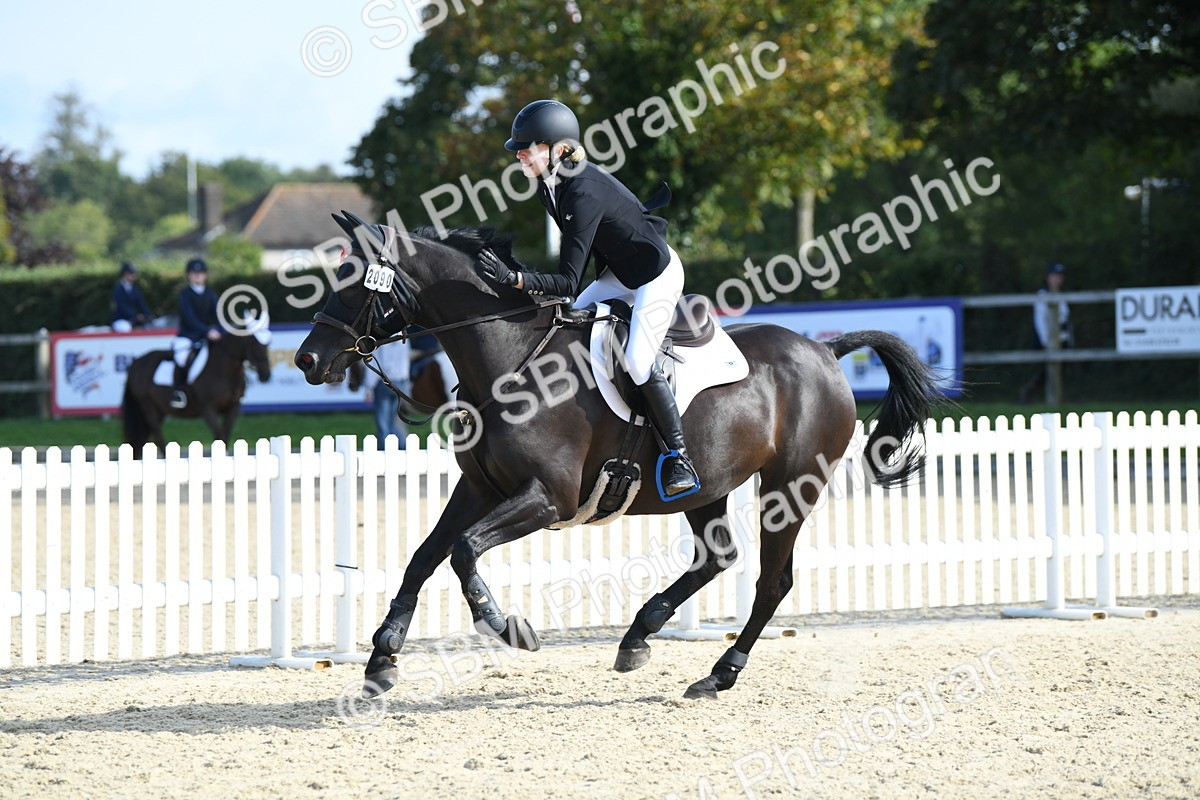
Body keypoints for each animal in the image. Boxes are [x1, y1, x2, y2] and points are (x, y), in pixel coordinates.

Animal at [122, 326, 273, 454]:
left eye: (267, 345)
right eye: (253, 342)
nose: (265, 375)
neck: (226, 370)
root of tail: (137, 362)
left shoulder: (233, 407)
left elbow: (224, 436)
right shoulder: (208, 409)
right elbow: (219, 436)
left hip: (159, 410)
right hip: (148, 406)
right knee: (158, 438)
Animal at [294, 211, 946, 700]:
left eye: (356, 283)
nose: (307, 360)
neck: (510, 361)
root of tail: (826, 351)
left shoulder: (548, 499)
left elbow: (463, 551)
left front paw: (507, 626)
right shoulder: (480, 489)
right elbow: (425, 556)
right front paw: (382, 657)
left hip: (790, 486)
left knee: (771, 582)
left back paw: (719, 673)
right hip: (708, 486)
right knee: (717, 557)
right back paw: (639, 636)